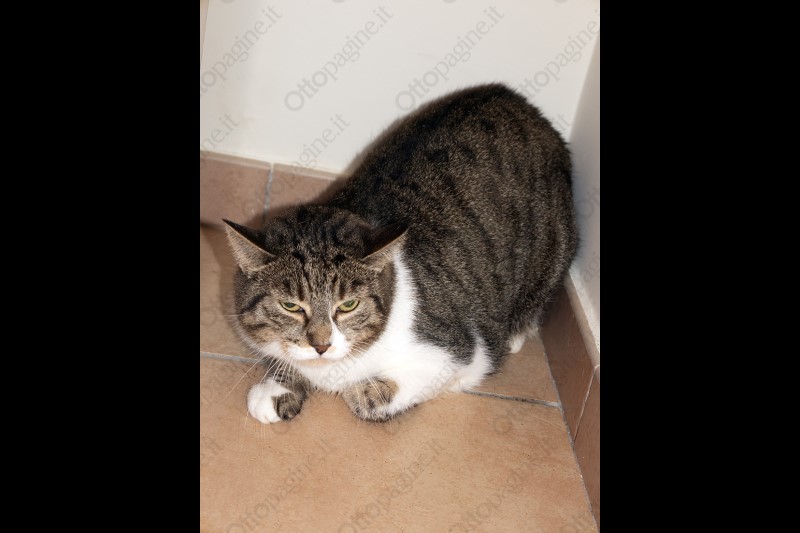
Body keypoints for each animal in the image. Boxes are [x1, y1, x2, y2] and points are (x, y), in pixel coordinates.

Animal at [224, 83, 578, 424]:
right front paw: (277, 387)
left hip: (553, 249)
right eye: (291, 306)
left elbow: (370, 395)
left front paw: (361, 390)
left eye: (348, 305)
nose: (321, 345)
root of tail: (515, 98)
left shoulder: (462, 351)